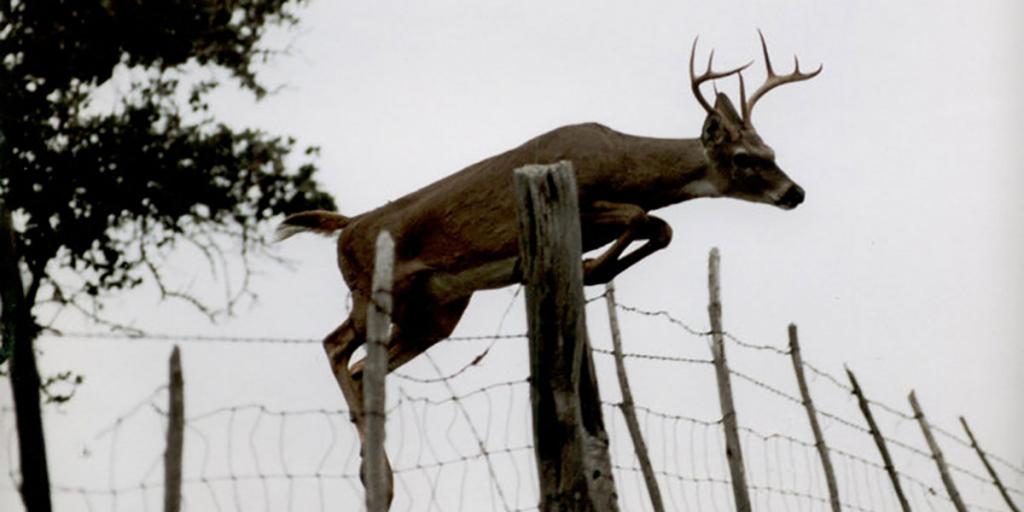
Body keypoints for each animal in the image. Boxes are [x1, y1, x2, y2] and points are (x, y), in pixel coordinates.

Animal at [278, 32, 820, 505]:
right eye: (744, 158)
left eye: (771, 151)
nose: (795, 192)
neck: (624, 162)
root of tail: (346, 227)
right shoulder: (588, 202)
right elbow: (642, 217)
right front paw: (593, 265)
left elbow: (661, 227)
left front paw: (593, 265)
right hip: (375, 290)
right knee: (336, 348)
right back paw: (379, 479)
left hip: (438, 311)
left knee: (361, 364)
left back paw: (373, 474)